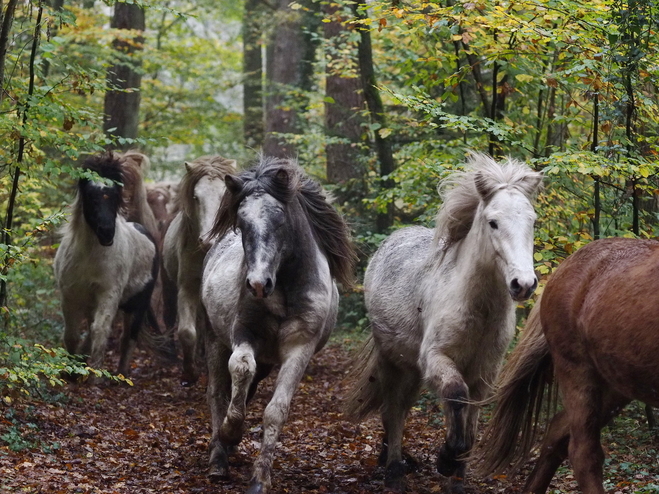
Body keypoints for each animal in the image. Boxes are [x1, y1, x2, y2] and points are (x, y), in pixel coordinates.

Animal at [53, 152, 160, 376]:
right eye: (90, 196)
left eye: (115, 197)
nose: (106, 232)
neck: (89, 258)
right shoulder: (70, 295)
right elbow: (72, 333)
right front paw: (70, 370)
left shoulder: (109, 293)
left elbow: (100, 330)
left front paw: (93, 376)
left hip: (136, 305)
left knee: (128, 339)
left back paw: (121, 374)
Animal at [162, 154, 237, 386]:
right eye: (196, 197)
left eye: (225, 196)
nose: (209, 240)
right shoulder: (187, 287)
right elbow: (187, 332)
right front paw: (189, 373)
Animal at [202, 156, 356, 494]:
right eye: (242, 222)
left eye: (280, 219)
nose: (258, 285)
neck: (285, 287)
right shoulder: (243, 333)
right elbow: (240, 369)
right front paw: (230, 433)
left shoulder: (300, 348)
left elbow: (276, 410)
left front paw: (260, 478)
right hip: (216, 341)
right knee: (218, 393)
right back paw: (219, 457)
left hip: (268, 361)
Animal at [342, 152, 544, 492]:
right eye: (493, 222)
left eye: (532, 221)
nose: (524, 284)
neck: (477, 308)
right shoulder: (436, 358)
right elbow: (455, 394)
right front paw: (446, 459)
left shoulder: (484, 372)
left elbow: (470, 421)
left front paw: (456, 475)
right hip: (391, 361)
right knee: (393, 409)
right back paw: (394, 470)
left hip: (410, 368)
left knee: (402, 405)